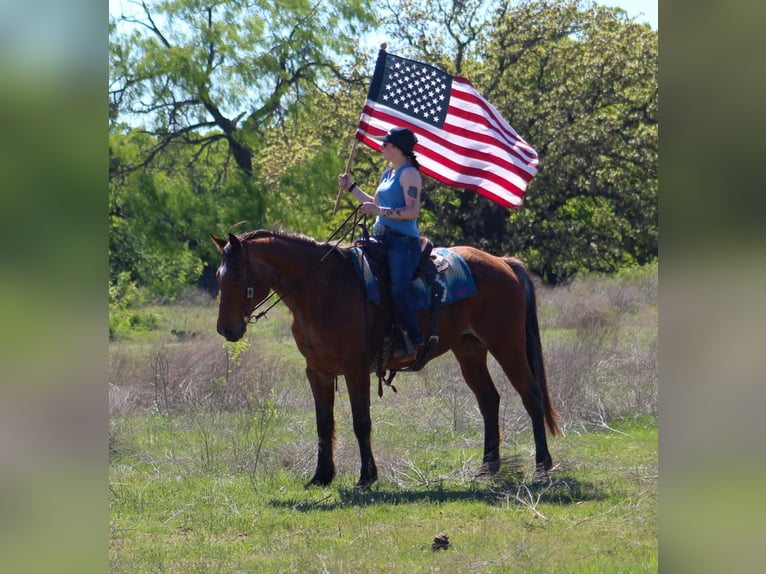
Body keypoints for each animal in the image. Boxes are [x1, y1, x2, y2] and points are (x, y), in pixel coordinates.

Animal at [210, 229, 559, 490]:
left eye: (238, 275)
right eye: (218, 275)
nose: (226, 328)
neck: (324, 289)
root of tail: (502, 262)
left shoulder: (355, 370)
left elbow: (361, 422)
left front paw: (366, 477)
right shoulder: (317, 371)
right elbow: (324, 423)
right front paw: (321, 476)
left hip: (507, 346)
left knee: (531, 395)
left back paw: (542, 466)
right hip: (470, 350)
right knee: (489, 400)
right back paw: (488, 467)